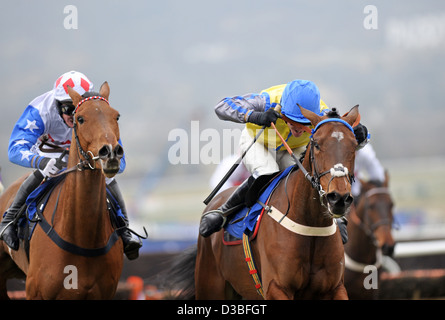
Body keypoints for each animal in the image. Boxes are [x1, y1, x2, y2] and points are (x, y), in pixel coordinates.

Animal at [0, 82, 123, 300]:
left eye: (116, 116)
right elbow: (18, 145)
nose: (110, 153)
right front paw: (47, 165)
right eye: (80, 118)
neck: (82, 236)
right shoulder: (35, 292)